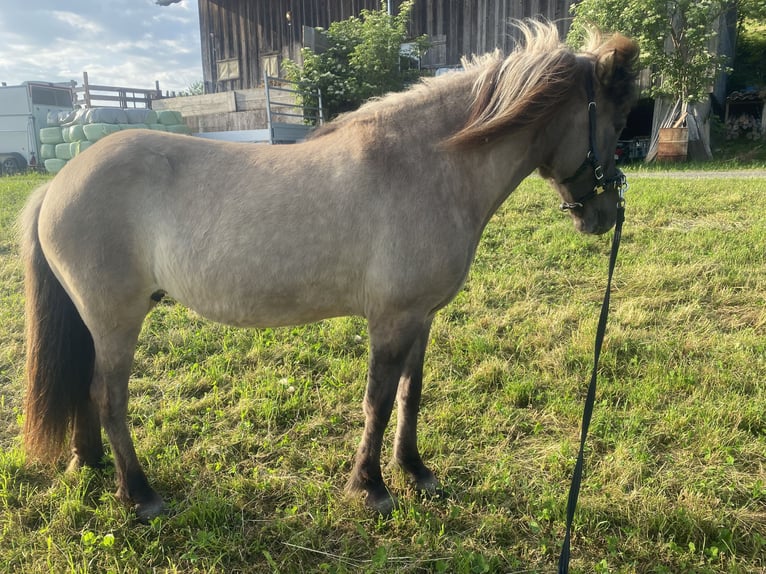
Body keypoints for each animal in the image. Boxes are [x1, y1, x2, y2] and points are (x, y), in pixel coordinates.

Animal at [20, 22, 639, 521]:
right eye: (613, 122)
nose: (606, 215)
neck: (425, 164)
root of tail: (58, 183)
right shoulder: (390, 320)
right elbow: (378, 401)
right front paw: (371, 487)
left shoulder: (420, 319)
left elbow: (411, 395)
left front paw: (415, 471)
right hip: (116, 321)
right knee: (107, 397)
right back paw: (140, 494)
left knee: (86, 393)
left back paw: (90, 466)